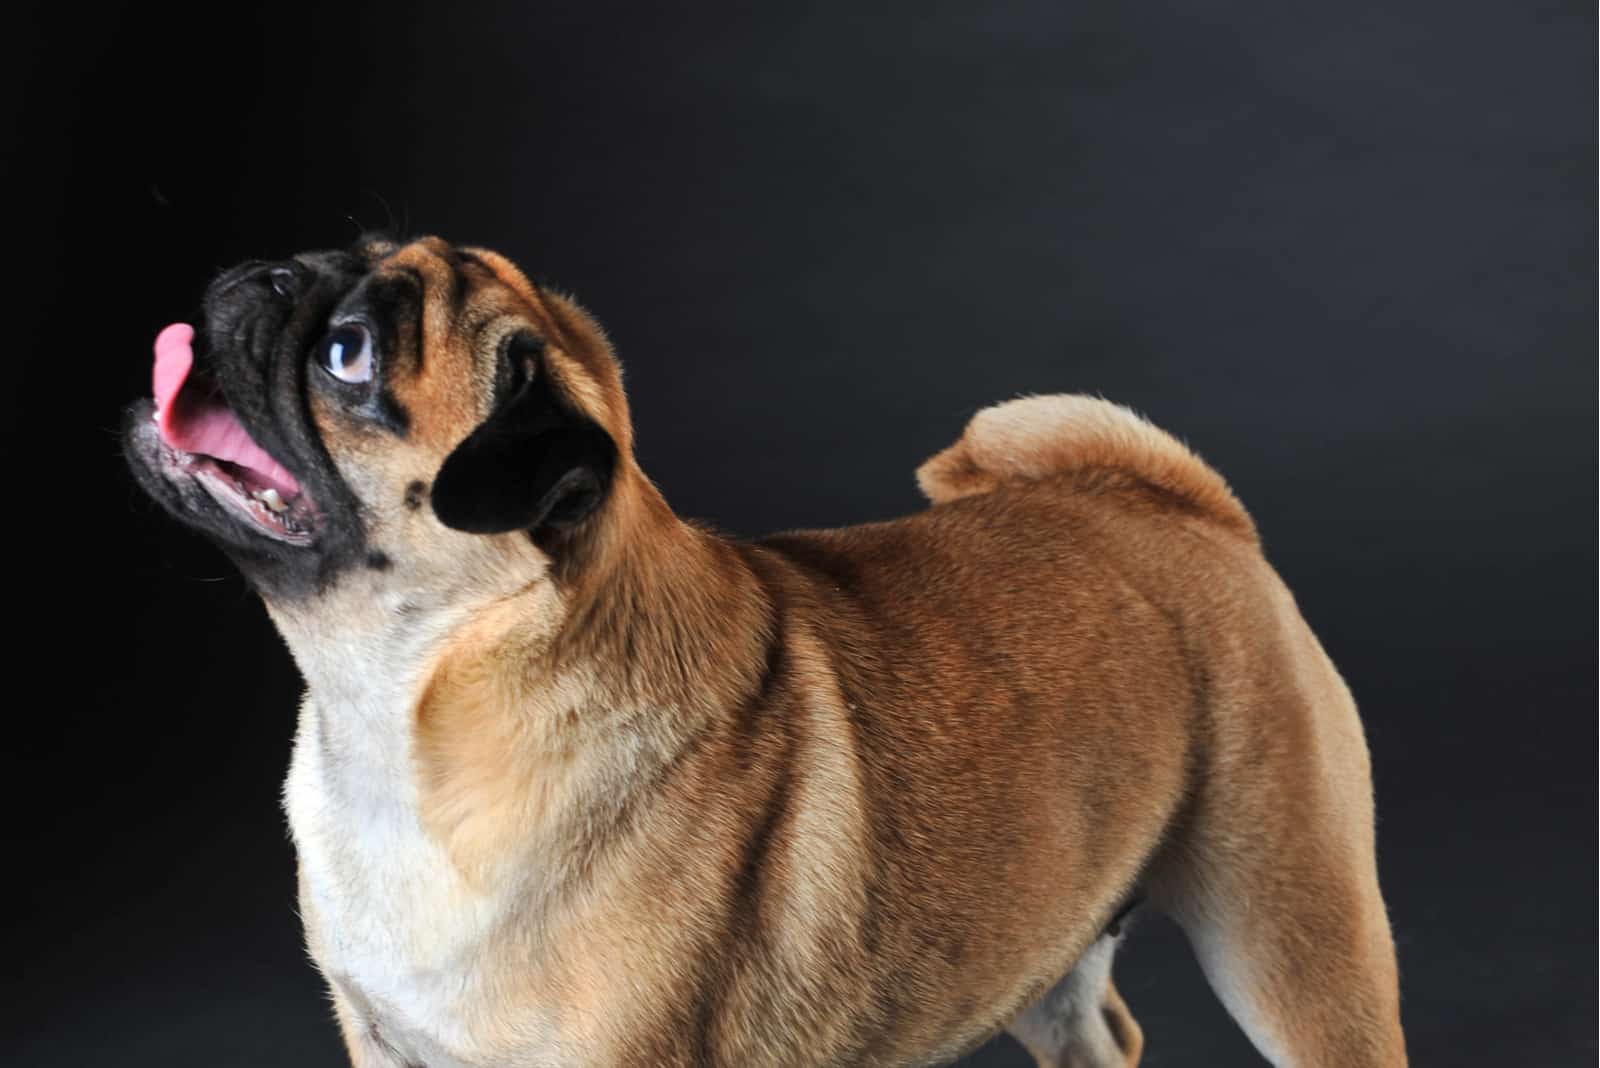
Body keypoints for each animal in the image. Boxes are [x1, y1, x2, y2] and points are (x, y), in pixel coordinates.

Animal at [121, 238, 1401, 1061]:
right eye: (331, 258)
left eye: (348, 355)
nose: (265, 274)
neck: (405, 707)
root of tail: (1185, 512)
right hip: (1044, 947)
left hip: (1289, 927)